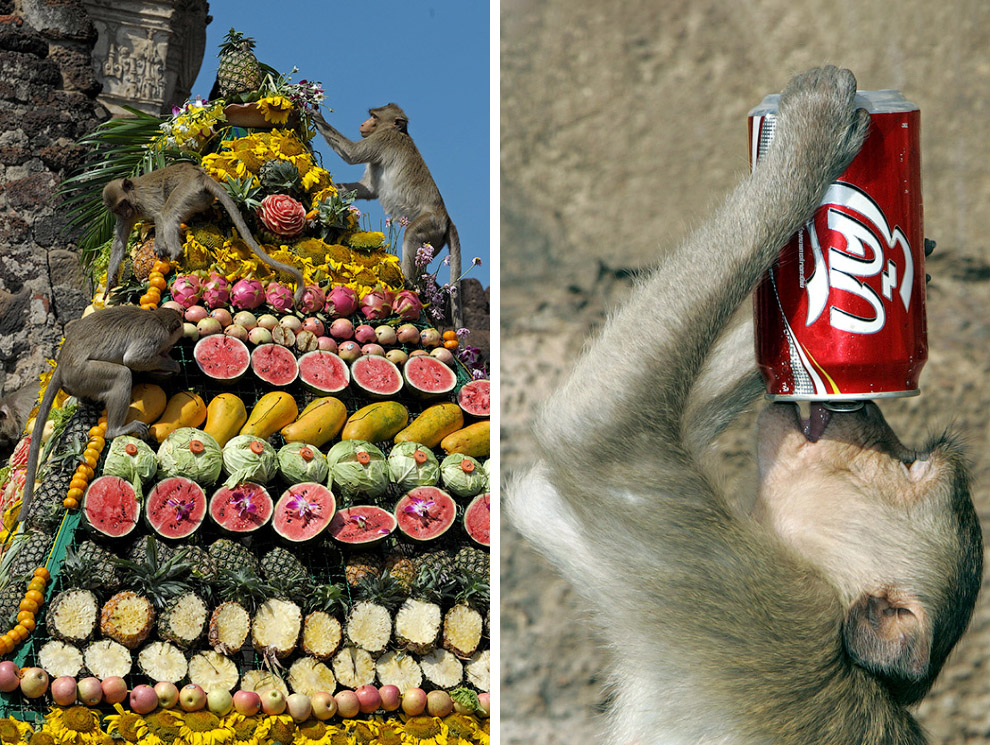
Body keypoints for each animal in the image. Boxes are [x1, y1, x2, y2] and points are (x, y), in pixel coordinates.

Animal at [18, 306, 184, 521]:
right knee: (123, 374)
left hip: (78, 382)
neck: (157, 318)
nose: (170, 351)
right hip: (85, 374)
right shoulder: (154, 338)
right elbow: (135, 359)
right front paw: (172, 364)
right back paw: (115, 430)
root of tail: (61, 364)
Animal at [101, 162, 306, 303]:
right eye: (118, 208)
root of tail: (198, 175)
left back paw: (176, 251)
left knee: (169, 213)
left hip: (186, 190)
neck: (133, 198)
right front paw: (110, 282)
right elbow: (119, 242)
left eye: (123, 203)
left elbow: (159, 216)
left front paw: (159, 247)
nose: (126, 212)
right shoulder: (125, 217)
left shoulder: (144, 200)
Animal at [311, 104, 463, 326]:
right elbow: (368, 189)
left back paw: (409, 283)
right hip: (435, 241)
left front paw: (316, 116)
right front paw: (334, 189)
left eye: (374, 116)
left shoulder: (383, 139)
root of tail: (446, 218)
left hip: (431, 225)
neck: (398, 131)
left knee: (411, 235)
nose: (363, 124)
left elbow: (352, 154)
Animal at [505, 67, 982, 744]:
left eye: (911, 467)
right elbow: (547, 491)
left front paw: (808, 139)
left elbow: (597, 436)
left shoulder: (757, 596)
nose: (864, 409)